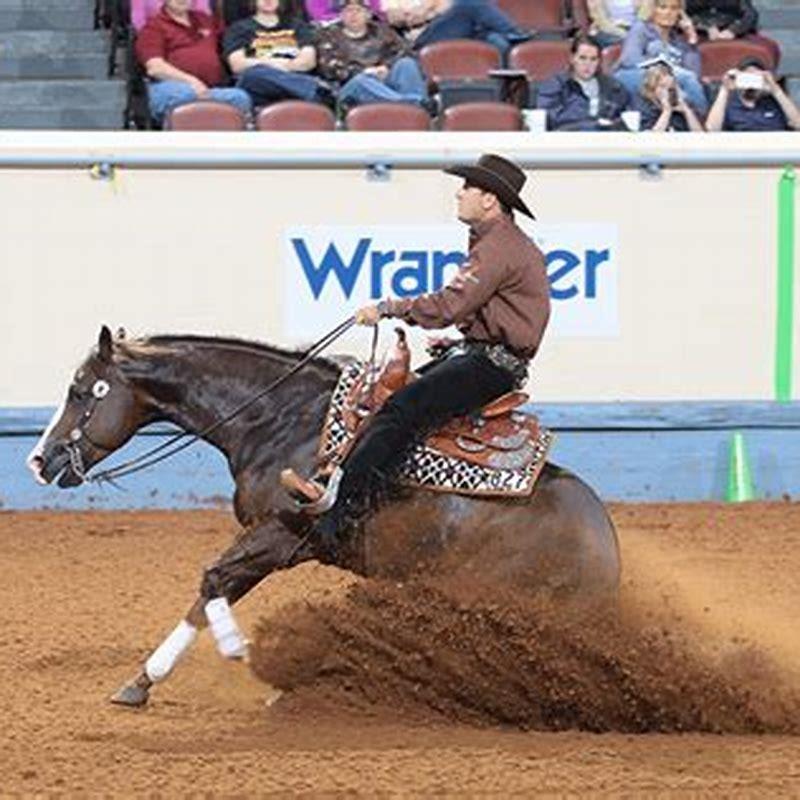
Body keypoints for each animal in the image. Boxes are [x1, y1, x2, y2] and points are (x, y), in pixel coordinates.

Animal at [26, 324, 620, 708]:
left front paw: (242, 652)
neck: (279, 420)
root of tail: (604, 548)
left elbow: (212, 579)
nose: (39, 459)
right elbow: (210, 593)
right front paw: (141, 682)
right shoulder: (265, 540)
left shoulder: (280, 535)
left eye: (80, 391)